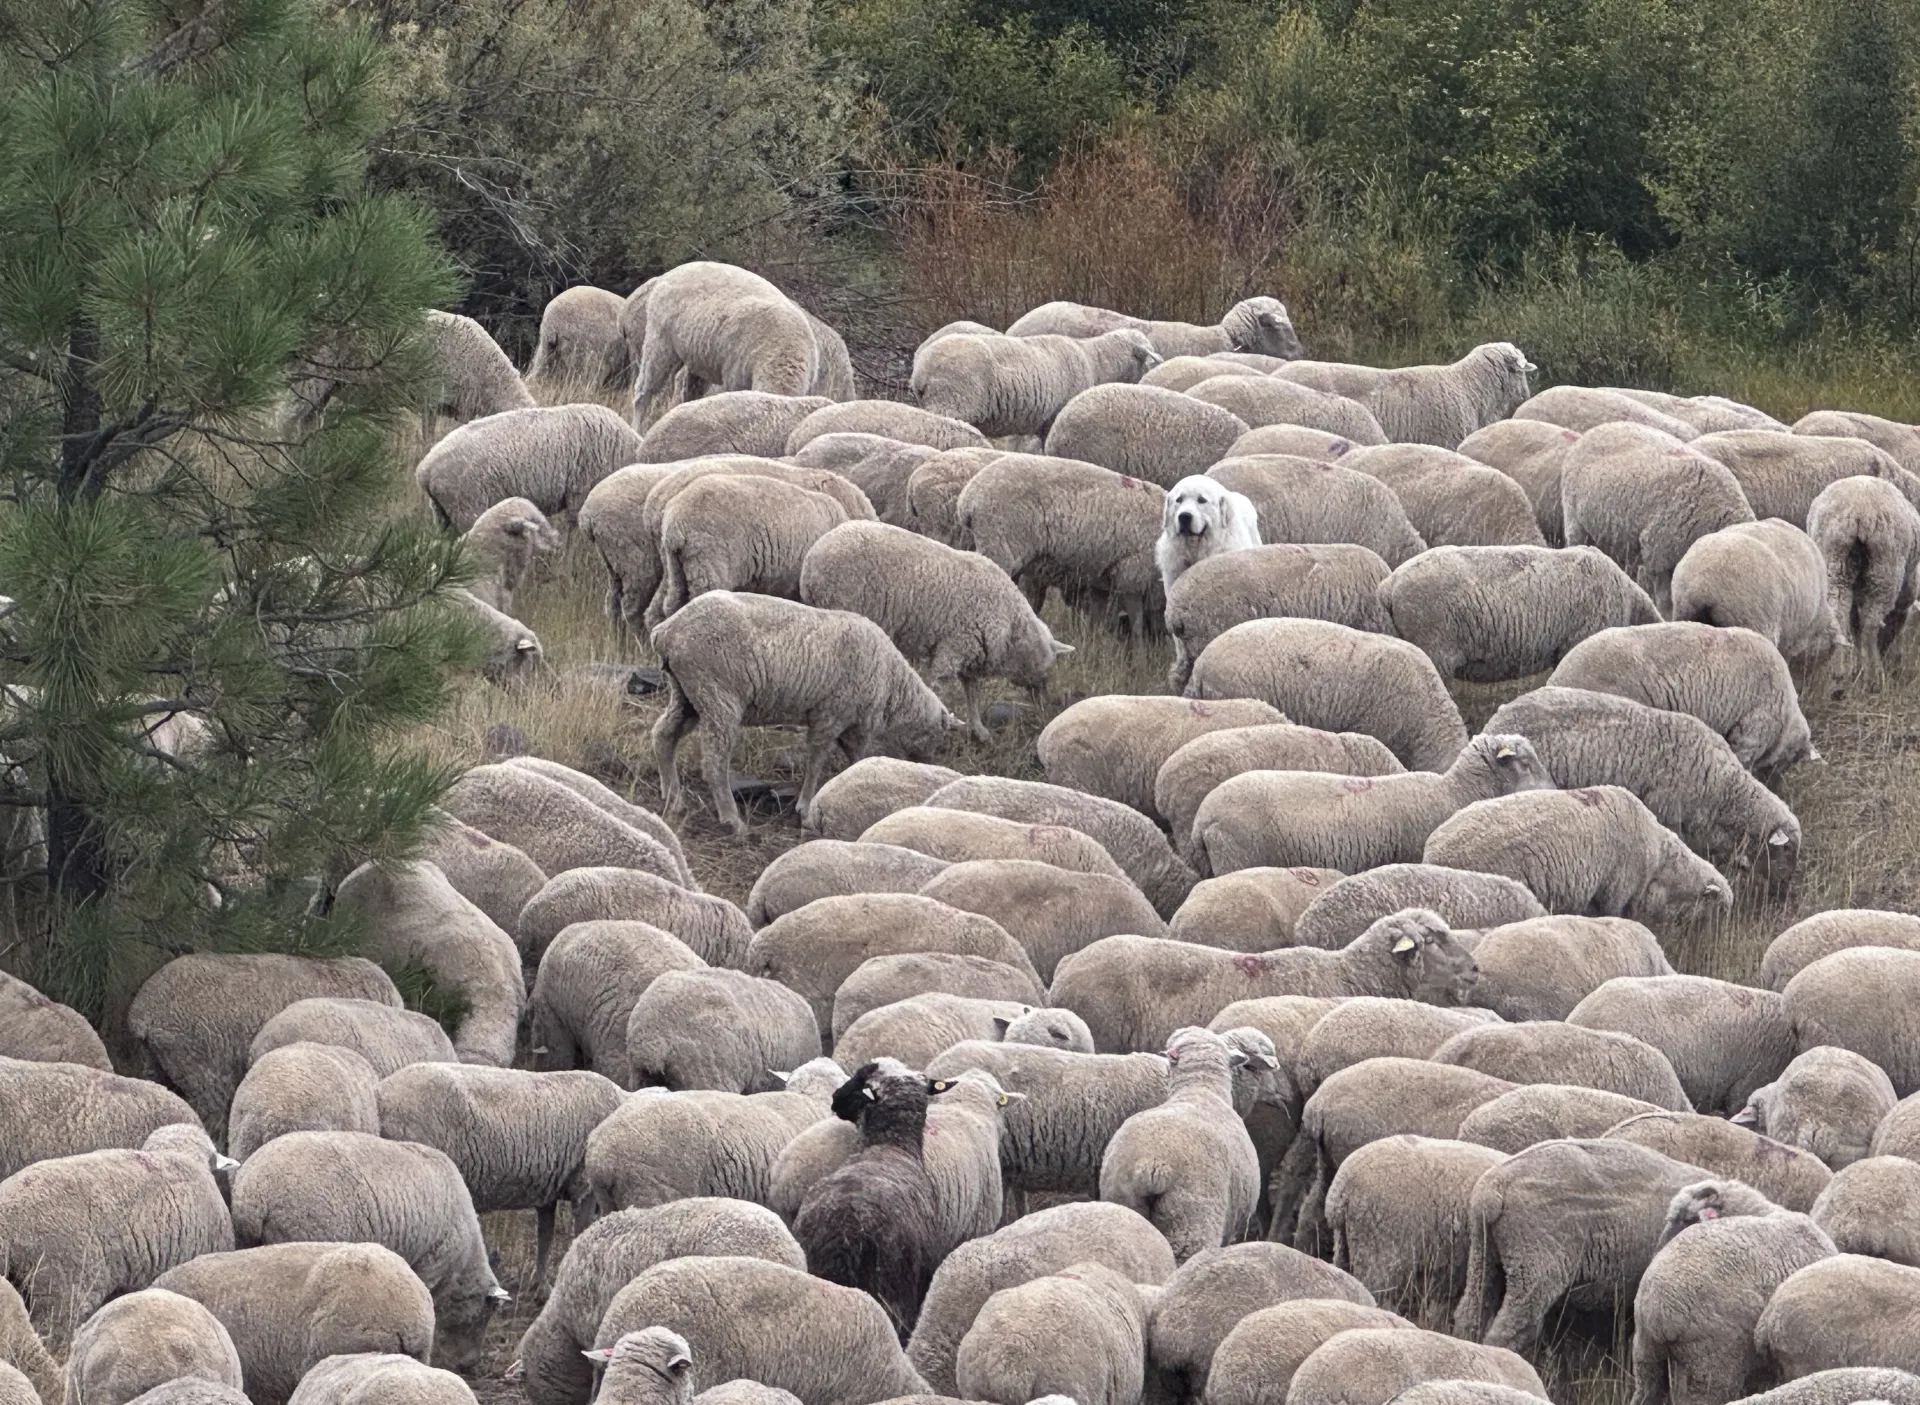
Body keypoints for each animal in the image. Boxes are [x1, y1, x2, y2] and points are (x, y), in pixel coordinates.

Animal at [630, 263, 825, 419]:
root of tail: (670, 273)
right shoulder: (734, 379)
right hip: (659, 341)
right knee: (643, 392)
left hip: (696, 357)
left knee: (689, 393)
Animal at [799, 520, 1072, 740]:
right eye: (1048, 670)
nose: (1042, 708)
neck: (1011, 628)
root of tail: (811, 562)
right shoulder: (955, 646)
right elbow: (940, 686)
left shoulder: (972, 650)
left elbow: (972, 692)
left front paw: (979, 730)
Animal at [953, 454, 1162, 634]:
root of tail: (968, 500)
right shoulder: (1133, 572)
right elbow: (1137, 621)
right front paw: (1139, 652)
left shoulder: (1102, 580)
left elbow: (1098, 619)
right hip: (998, 548)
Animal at [1806, 473, 1920, 686]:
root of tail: (1856, 513)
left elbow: (1855, 624)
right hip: (1884, 568)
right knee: (1871, 622)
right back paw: (1874, 678)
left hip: (1835, 561)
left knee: (1839, 614)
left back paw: (1839, 673)